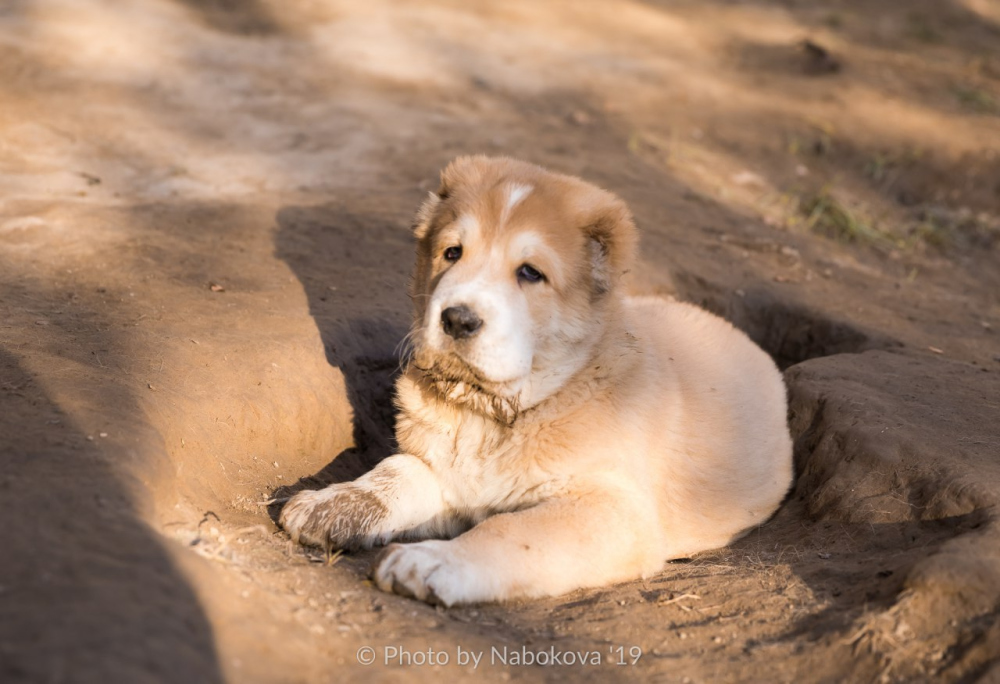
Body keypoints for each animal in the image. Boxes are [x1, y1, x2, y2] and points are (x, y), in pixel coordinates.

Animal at [278, 158, 792, 608]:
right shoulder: (440, 469)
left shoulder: (613, 509)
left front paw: (431, 562)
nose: (457, 319)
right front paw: (332, 504)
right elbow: (394, 473)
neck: (496, 414)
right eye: (452, 253)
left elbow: (510, 531)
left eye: (530, 273)